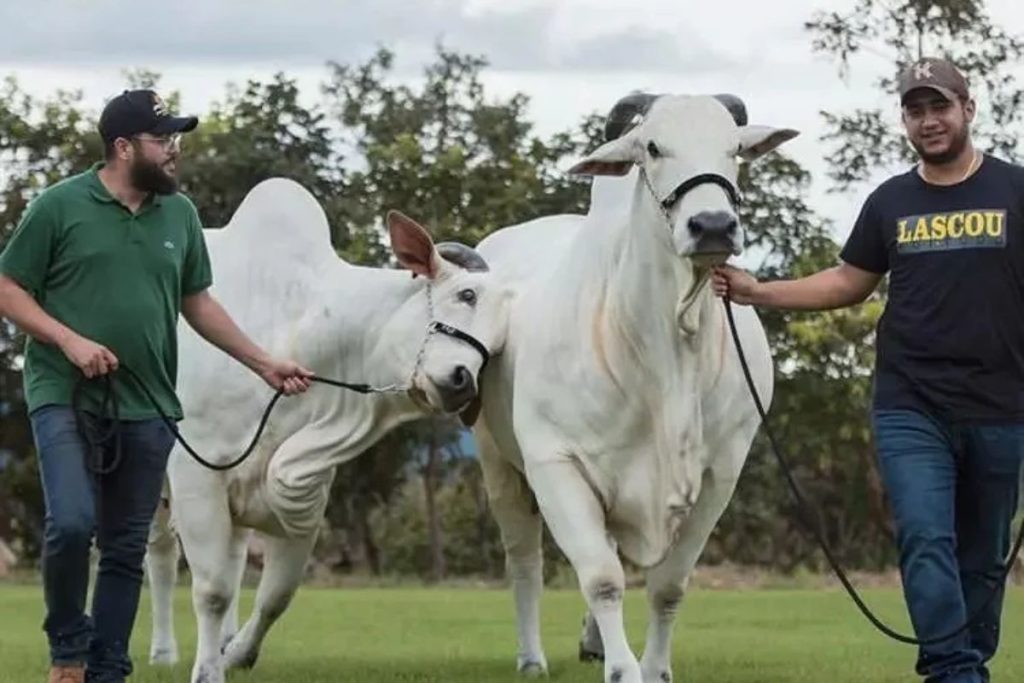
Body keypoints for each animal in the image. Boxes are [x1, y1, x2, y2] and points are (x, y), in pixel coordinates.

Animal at [144, 178, 512, 683]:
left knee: (232, 561)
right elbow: (212, 589)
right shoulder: (195, 472)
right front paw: (206, 671)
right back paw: (163, 652)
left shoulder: (303, 485)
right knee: (159, 558)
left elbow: (275, 595)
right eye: (467, 295)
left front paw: (235, 654)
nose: (462, 381)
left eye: (498, 342)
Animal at [471, 93, 798, 679]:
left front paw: (656, 667)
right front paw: (624, 670)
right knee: (524, 559)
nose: (713, 225)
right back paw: (531, 657)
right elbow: (602, 577)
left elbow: (668, 586)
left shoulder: (719, 476)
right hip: (498, 463)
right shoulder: (556, 464)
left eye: (735, 148)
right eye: (652, 147)